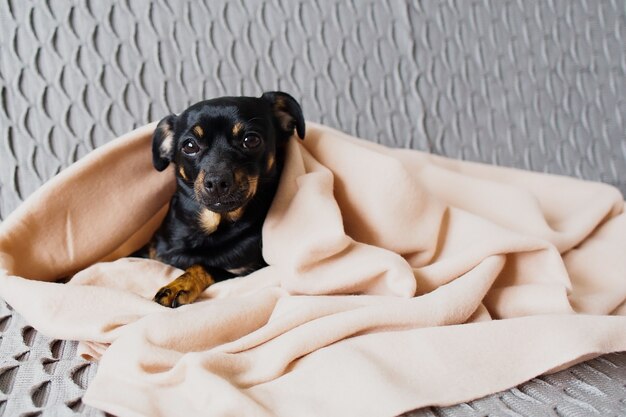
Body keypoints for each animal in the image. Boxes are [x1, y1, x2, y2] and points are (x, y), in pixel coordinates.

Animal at [144, 92, 304, 306]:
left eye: (251, 140)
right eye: (189, 145)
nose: (217, 181)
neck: (208, 229)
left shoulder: (245, 271)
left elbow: (202, 265)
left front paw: (177, 286)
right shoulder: (152, 253)